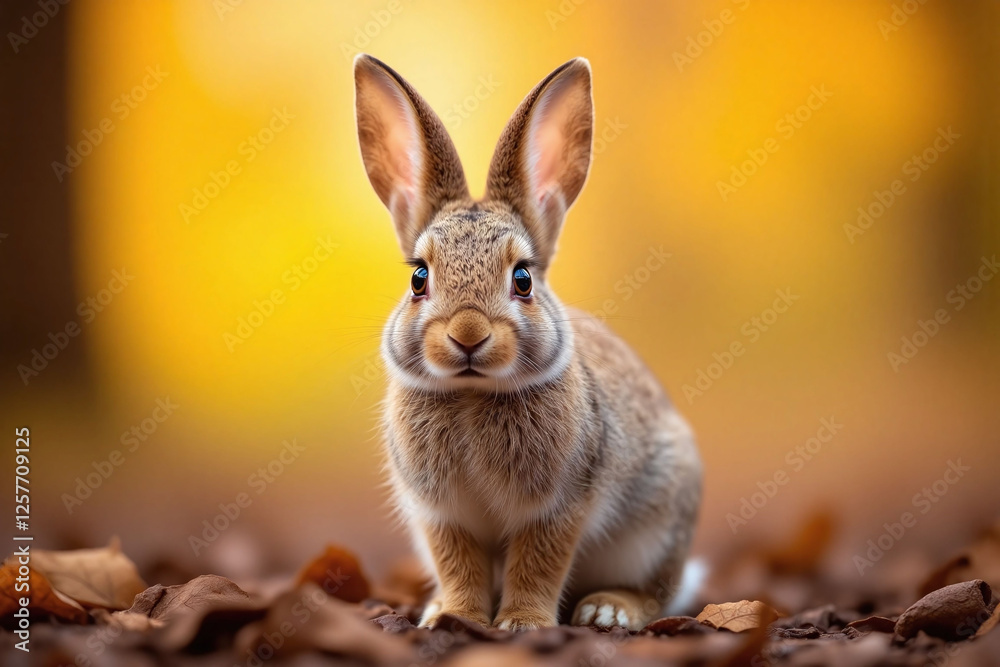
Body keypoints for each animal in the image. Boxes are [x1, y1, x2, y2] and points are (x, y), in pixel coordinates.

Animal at [353, 53, 702, 631]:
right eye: (419, 278)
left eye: (522, 279)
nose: (468, 334)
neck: (472, 393)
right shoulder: (441, 516)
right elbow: (457, 564)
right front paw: (458, 615)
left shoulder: (559, 507)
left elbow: (539, 562)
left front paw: (522, 623)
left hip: (657, 525)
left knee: (658, 591)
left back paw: (610, 611)